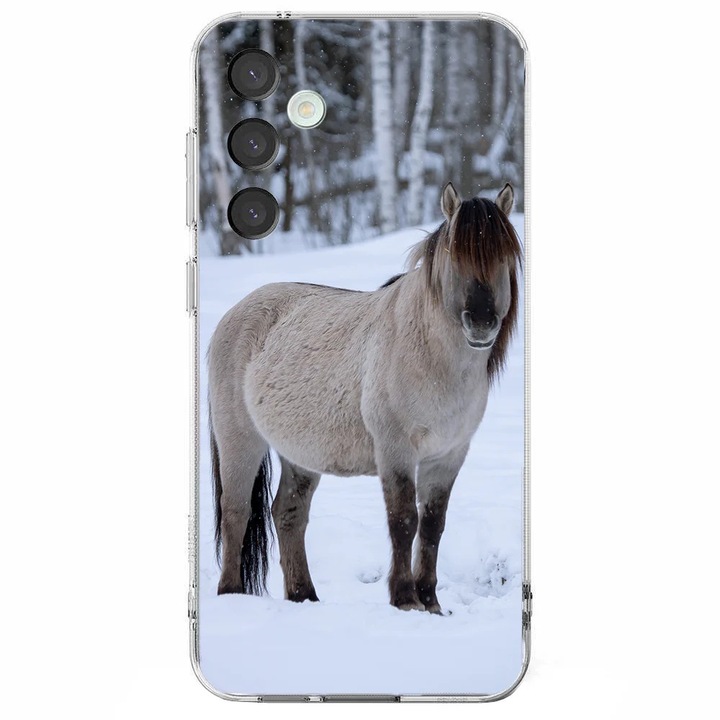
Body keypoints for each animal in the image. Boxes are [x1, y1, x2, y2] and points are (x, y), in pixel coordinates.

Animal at [207, 182, 523, 613]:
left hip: (300, 454)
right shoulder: (395, 450)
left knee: (288, 514)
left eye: (503, 257)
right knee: (236, 511)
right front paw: (405, 599)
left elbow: (433, 525)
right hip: (239, 439)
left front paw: (432, 603)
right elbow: (403, 520)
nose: (481, 323)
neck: (430, 357)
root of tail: (234, 314)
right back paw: (231, 594)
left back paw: (305, 597)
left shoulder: (448, 456)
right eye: (454, 256)